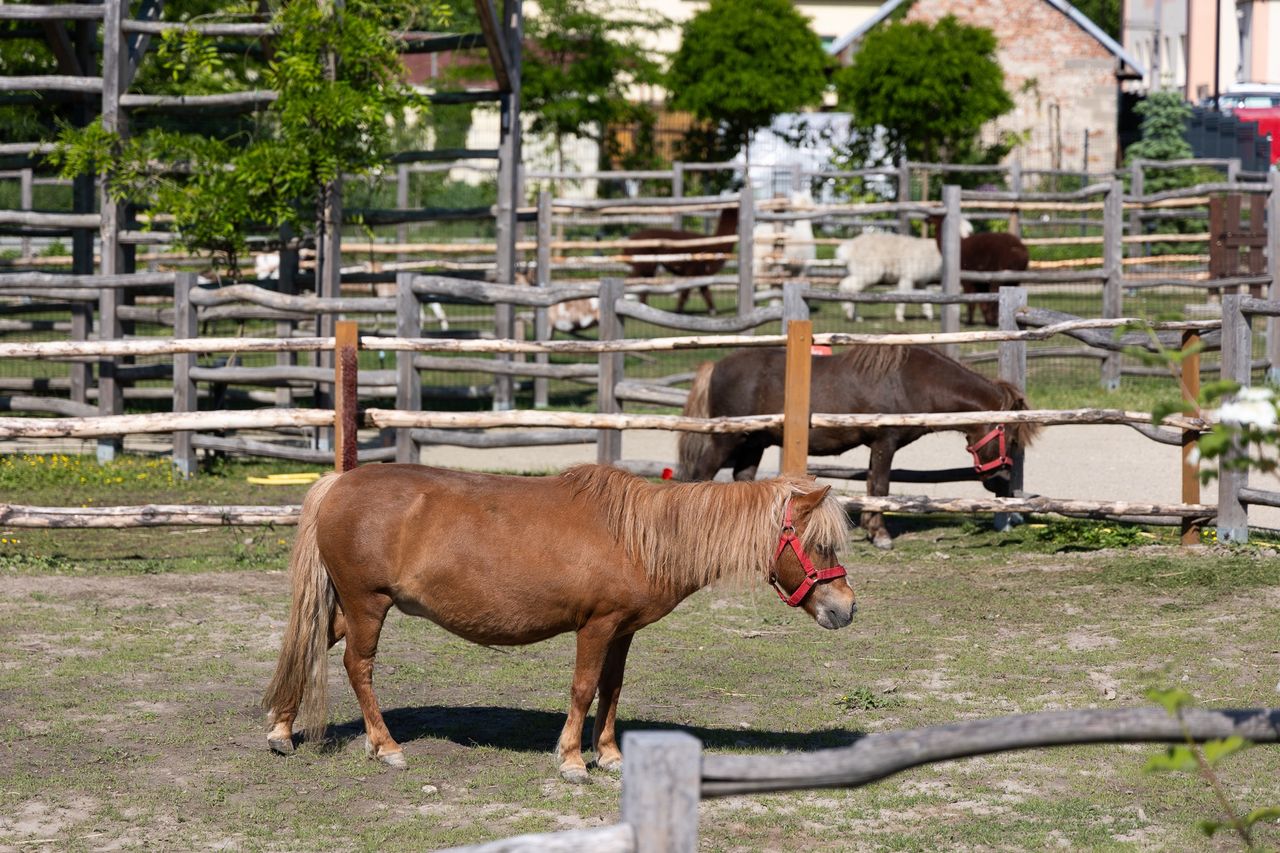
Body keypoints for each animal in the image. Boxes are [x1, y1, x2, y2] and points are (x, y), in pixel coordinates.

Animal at [263, 461, 855, 778]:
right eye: (820, 543)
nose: (846, 609)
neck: (641, 536)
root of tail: (339, 484)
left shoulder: (622, 631)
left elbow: (612, 689)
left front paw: (609, 755)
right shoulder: (595, 626)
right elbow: (584, 688)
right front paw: (572, 760)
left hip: (350, 608)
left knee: (310, 645)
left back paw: (282, 729)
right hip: (368, 604)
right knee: (358, 667)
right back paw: (384, 746)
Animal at [680, 343, 1039, 548]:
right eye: (1012, 439)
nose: (1002, 482)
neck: (911, 382)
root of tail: (715, 366)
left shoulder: (876, 446)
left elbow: (870, 485)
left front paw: (870, 526)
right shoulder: (884, 442)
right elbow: (879, 486)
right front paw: (880, 534)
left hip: (754, 442)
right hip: (726, 439)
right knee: (701, 474)